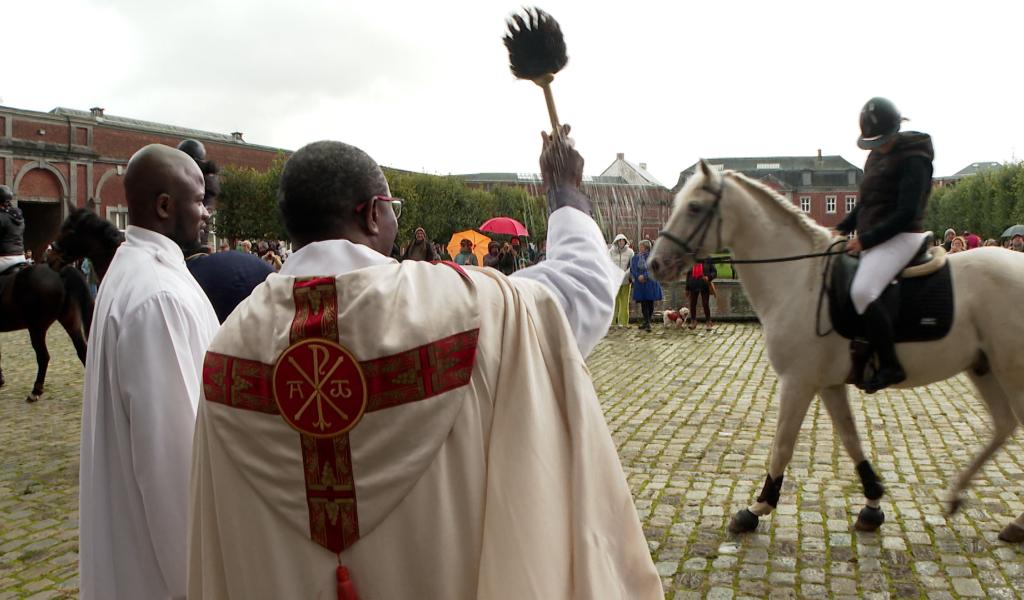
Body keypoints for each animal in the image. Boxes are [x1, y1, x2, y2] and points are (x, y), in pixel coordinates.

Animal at [0, 207, 120, 399]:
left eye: (70, 231)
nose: (51, 257)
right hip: (67, 319)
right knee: (81, 350)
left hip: (37, 327)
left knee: (44, 356)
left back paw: (36, 391)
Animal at [647, 160, 1024, 540]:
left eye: (694, 207)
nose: (654, 264)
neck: (798, 279)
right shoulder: (828, 384)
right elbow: (850, 438)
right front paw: (872, 504)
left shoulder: (797, 381)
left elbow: (782, 445)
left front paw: (757, 508)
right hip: (983, 367)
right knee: (1003, 425)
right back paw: (958, 494)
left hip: (1011, 371)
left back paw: (1014, 521)